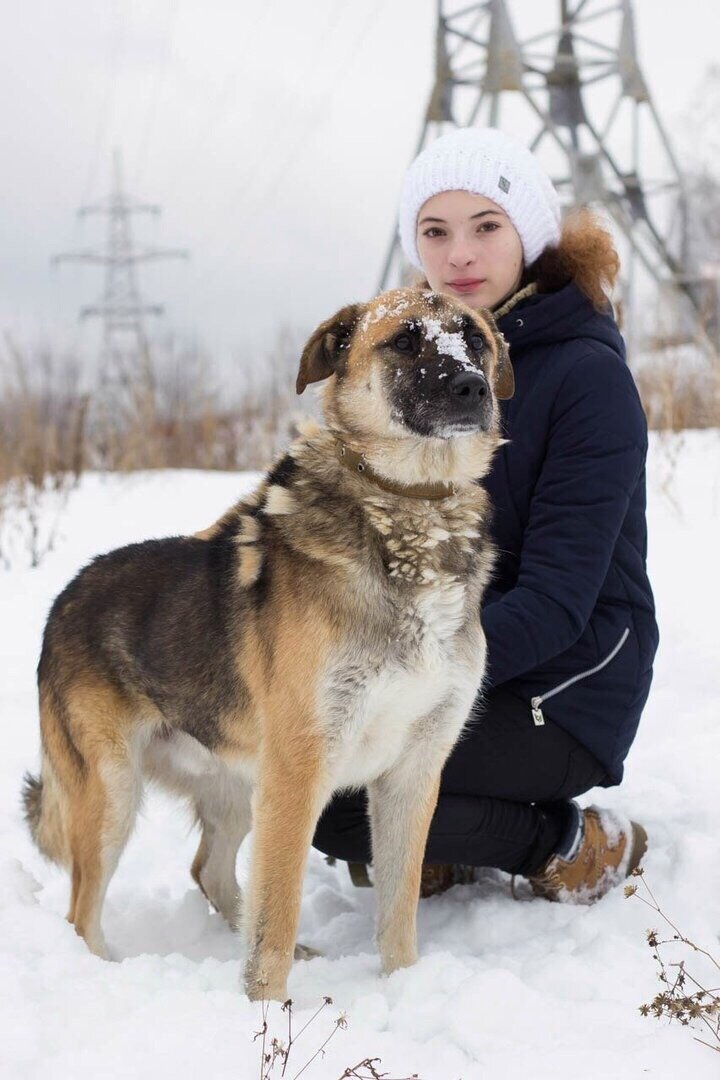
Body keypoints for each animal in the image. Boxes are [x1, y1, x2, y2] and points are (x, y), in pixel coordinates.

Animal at [21, 287, 511, 1002]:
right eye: (403, 340)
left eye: (472, 338)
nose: (474, 387)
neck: (412, 509)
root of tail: (64, 598)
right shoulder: (299, 771)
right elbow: (275, 913)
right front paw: (264, 1009)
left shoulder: (412, 775)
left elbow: (397, 915)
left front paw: (404, 990)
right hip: (112, 794)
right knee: (83, 910)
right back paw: (107, 973)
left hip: (233, 785)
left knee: (209, 871)